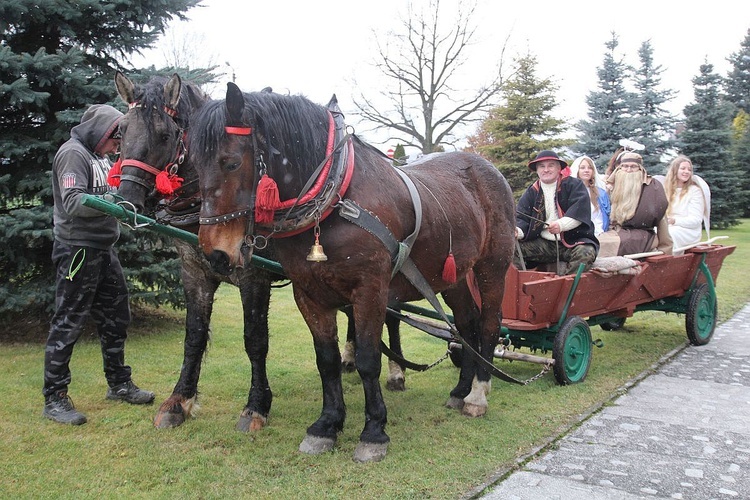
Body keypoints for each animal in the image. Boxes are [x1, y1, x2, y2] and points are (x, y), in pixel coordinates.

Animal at [192, 82, 516, 460]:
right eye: (194, 165)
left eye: (230, 162)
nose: (215, 254)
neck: (336, 198)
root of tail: (488, 169)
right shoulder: (308, 293)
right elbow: (327, 360)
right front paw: (326, 425)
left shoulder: (370, 288)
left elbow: (367, 358)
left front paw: (374, 431)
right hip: (453, 274)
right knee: (465, 324)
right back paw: (460, 390)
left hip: (492, 266)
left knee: (489, 323)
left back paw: (478, 394)